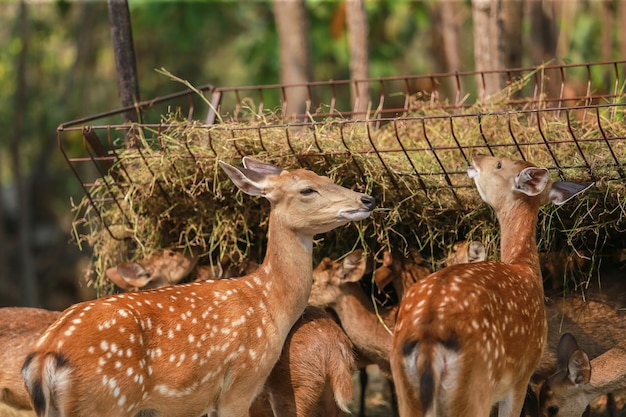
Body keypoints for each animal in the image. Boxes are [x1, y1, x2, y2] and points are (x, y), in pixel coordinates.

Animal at [20, 157, 376, 416]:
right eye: (307, 190)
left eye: (326, 177)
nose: (367, 198)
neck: (268, 303)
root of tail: (44, 357)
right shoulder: (241, 384)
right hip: (109, 401)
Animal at [390, 154, 588, 416]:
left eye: (500, 164)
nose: (475, 157)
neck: (525, 268)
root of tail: (428, 340)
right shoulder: (523, 373)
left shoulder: (522, 376)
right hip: (476, 388)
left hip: (406, 391)